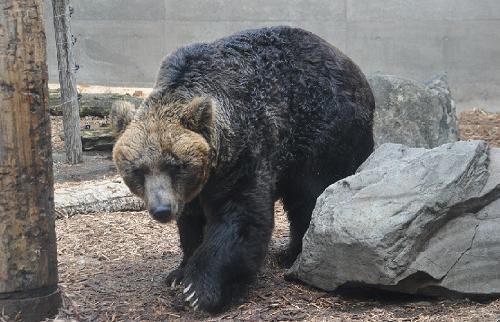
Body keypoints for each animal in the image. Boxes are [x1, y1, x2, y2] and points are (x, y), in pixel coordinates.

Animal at [111, 26, 374, 314]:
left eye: (175, 165)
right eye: (138, 170)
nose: (161, 210)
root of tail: (355, 69)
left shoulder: (243, 153)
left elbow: (240, 216)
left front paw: (199, 290)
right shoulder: (192, 190)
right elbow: (191, 223)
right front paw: (179, 273)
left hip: (325, 137)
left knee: (310, 198)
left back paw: (294, 254)